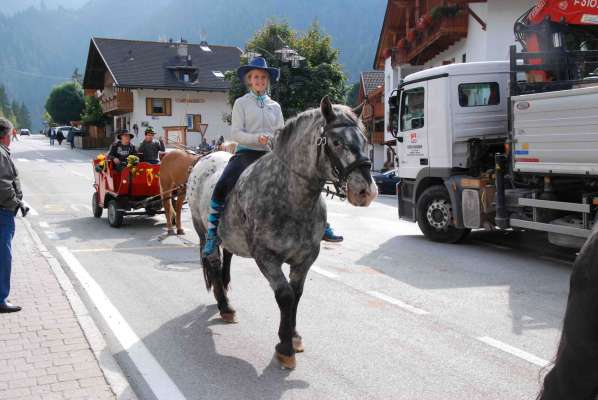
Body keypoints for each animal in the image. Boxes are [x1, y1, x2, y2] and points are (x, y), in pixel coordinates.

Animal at [188, 97, 378, 368]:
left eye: (364, 139)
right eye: (336, 142)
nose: (366, 191)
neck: (290, 195)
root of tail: (205, 158)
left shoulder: (306, 257)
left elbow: (296, 294)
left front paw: (294, 336)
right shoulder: (266, 257)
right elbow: (285, 295)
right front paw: (285, 347)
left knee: (227, 259)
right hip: (203, 232)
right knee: (213, 263)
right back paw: (225, 306)